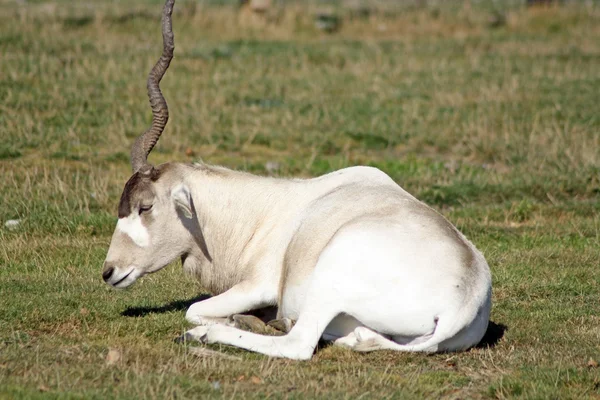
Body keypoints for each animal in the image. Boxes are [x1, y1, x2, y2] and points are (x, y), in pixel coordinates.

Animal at [103, 0, 492, 360]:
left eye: (146, 206)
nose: (109, 271)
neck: (260, 212)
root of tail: (464, 302)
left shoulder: (260, 286)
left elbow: (194, 309)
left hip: (328, 280)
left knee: (299, 343)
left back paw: (210, 335)